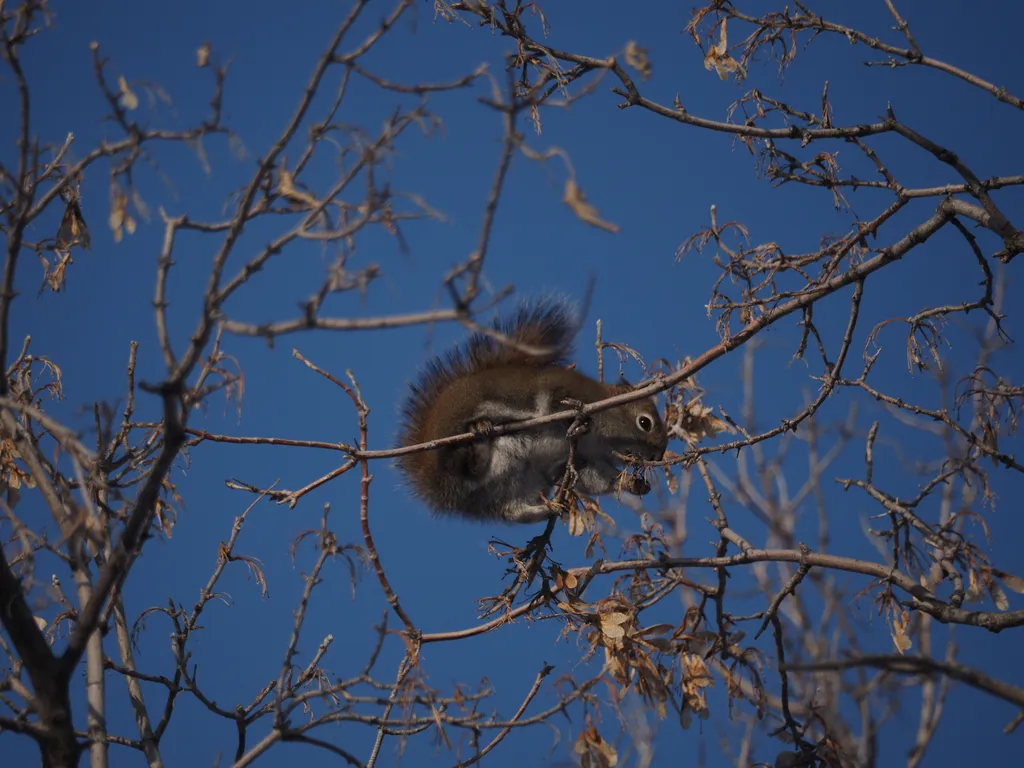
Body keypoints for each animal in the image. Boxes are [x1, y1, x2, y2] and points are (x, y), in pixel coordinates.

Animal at [393, 296, 671, 528]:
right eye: (645, 422)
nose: (657, 456)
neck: (603, 438)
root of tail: (434, 481)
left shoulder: (588, 460)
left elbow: (597, 479)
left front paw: (634, 483)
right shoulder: (563, 393)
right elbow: (554, 406)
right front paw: (576, 423)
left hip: (519, 483)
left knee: (512, 510)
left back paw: (549, 508)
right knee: (464, 467)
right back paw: (480, 437)